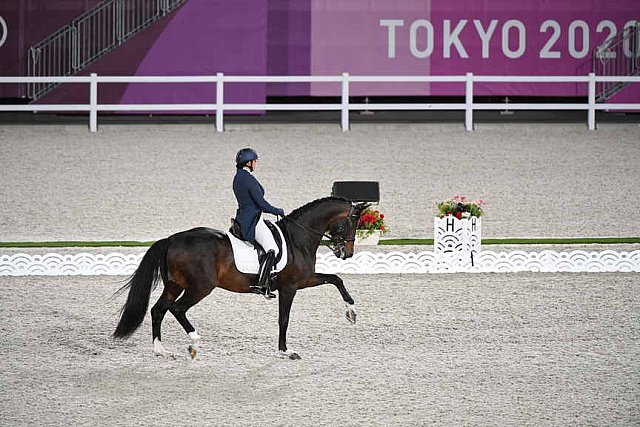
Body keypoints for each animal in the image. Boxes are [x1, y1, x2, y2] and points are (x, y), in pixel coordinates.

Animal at [112, 197, 368, 362]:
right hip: (200, 287)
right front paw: (285, 351)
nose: (347, 253)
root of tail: (173, 239)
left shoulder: (304, 280)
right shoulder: (290, 287)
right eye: (352, 222)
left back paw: (161, 351)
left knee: (158, 310)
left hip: (175, 285)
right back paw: (194, 343)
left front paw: (351, 313)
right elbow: (284, 319)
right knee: (177, 309)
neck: (298, 237)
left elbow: (335, 279)